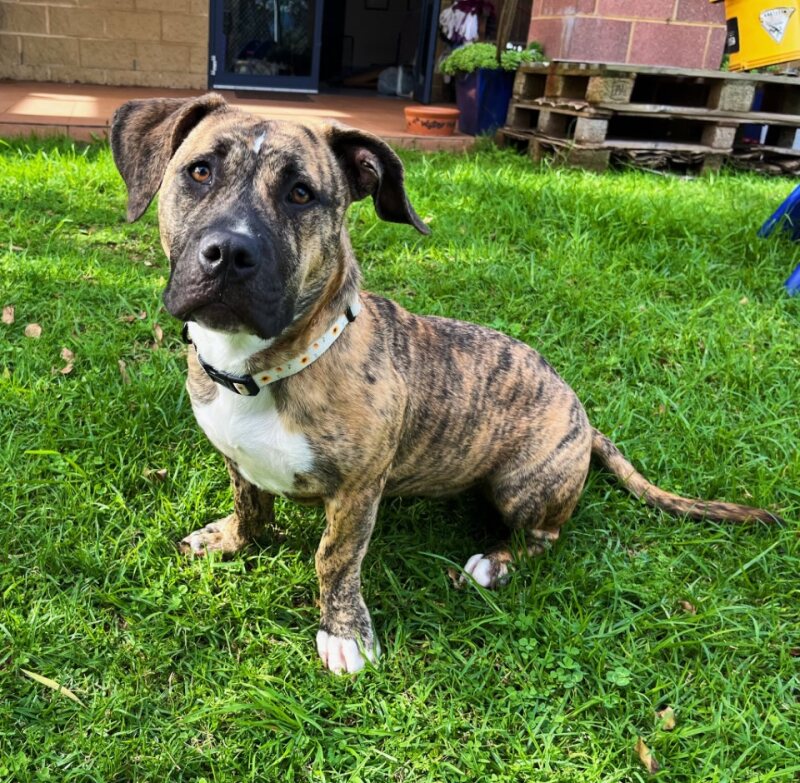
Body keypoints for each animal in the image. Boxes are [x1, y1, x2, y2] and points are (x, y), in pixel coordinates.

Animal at [110, 94, 781, 674]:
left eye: (301, 194)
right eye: (198, 172)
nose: (229, 252)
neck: (263, 369)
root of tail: (584, 422)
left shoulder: (357, 493)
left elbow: (335, 559)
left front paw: (344, 632)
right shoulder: (237, 459)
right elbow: (251, 509)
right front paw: (230, 538)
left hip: (522, 485)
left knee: (545, 536)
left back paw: (493, 565)